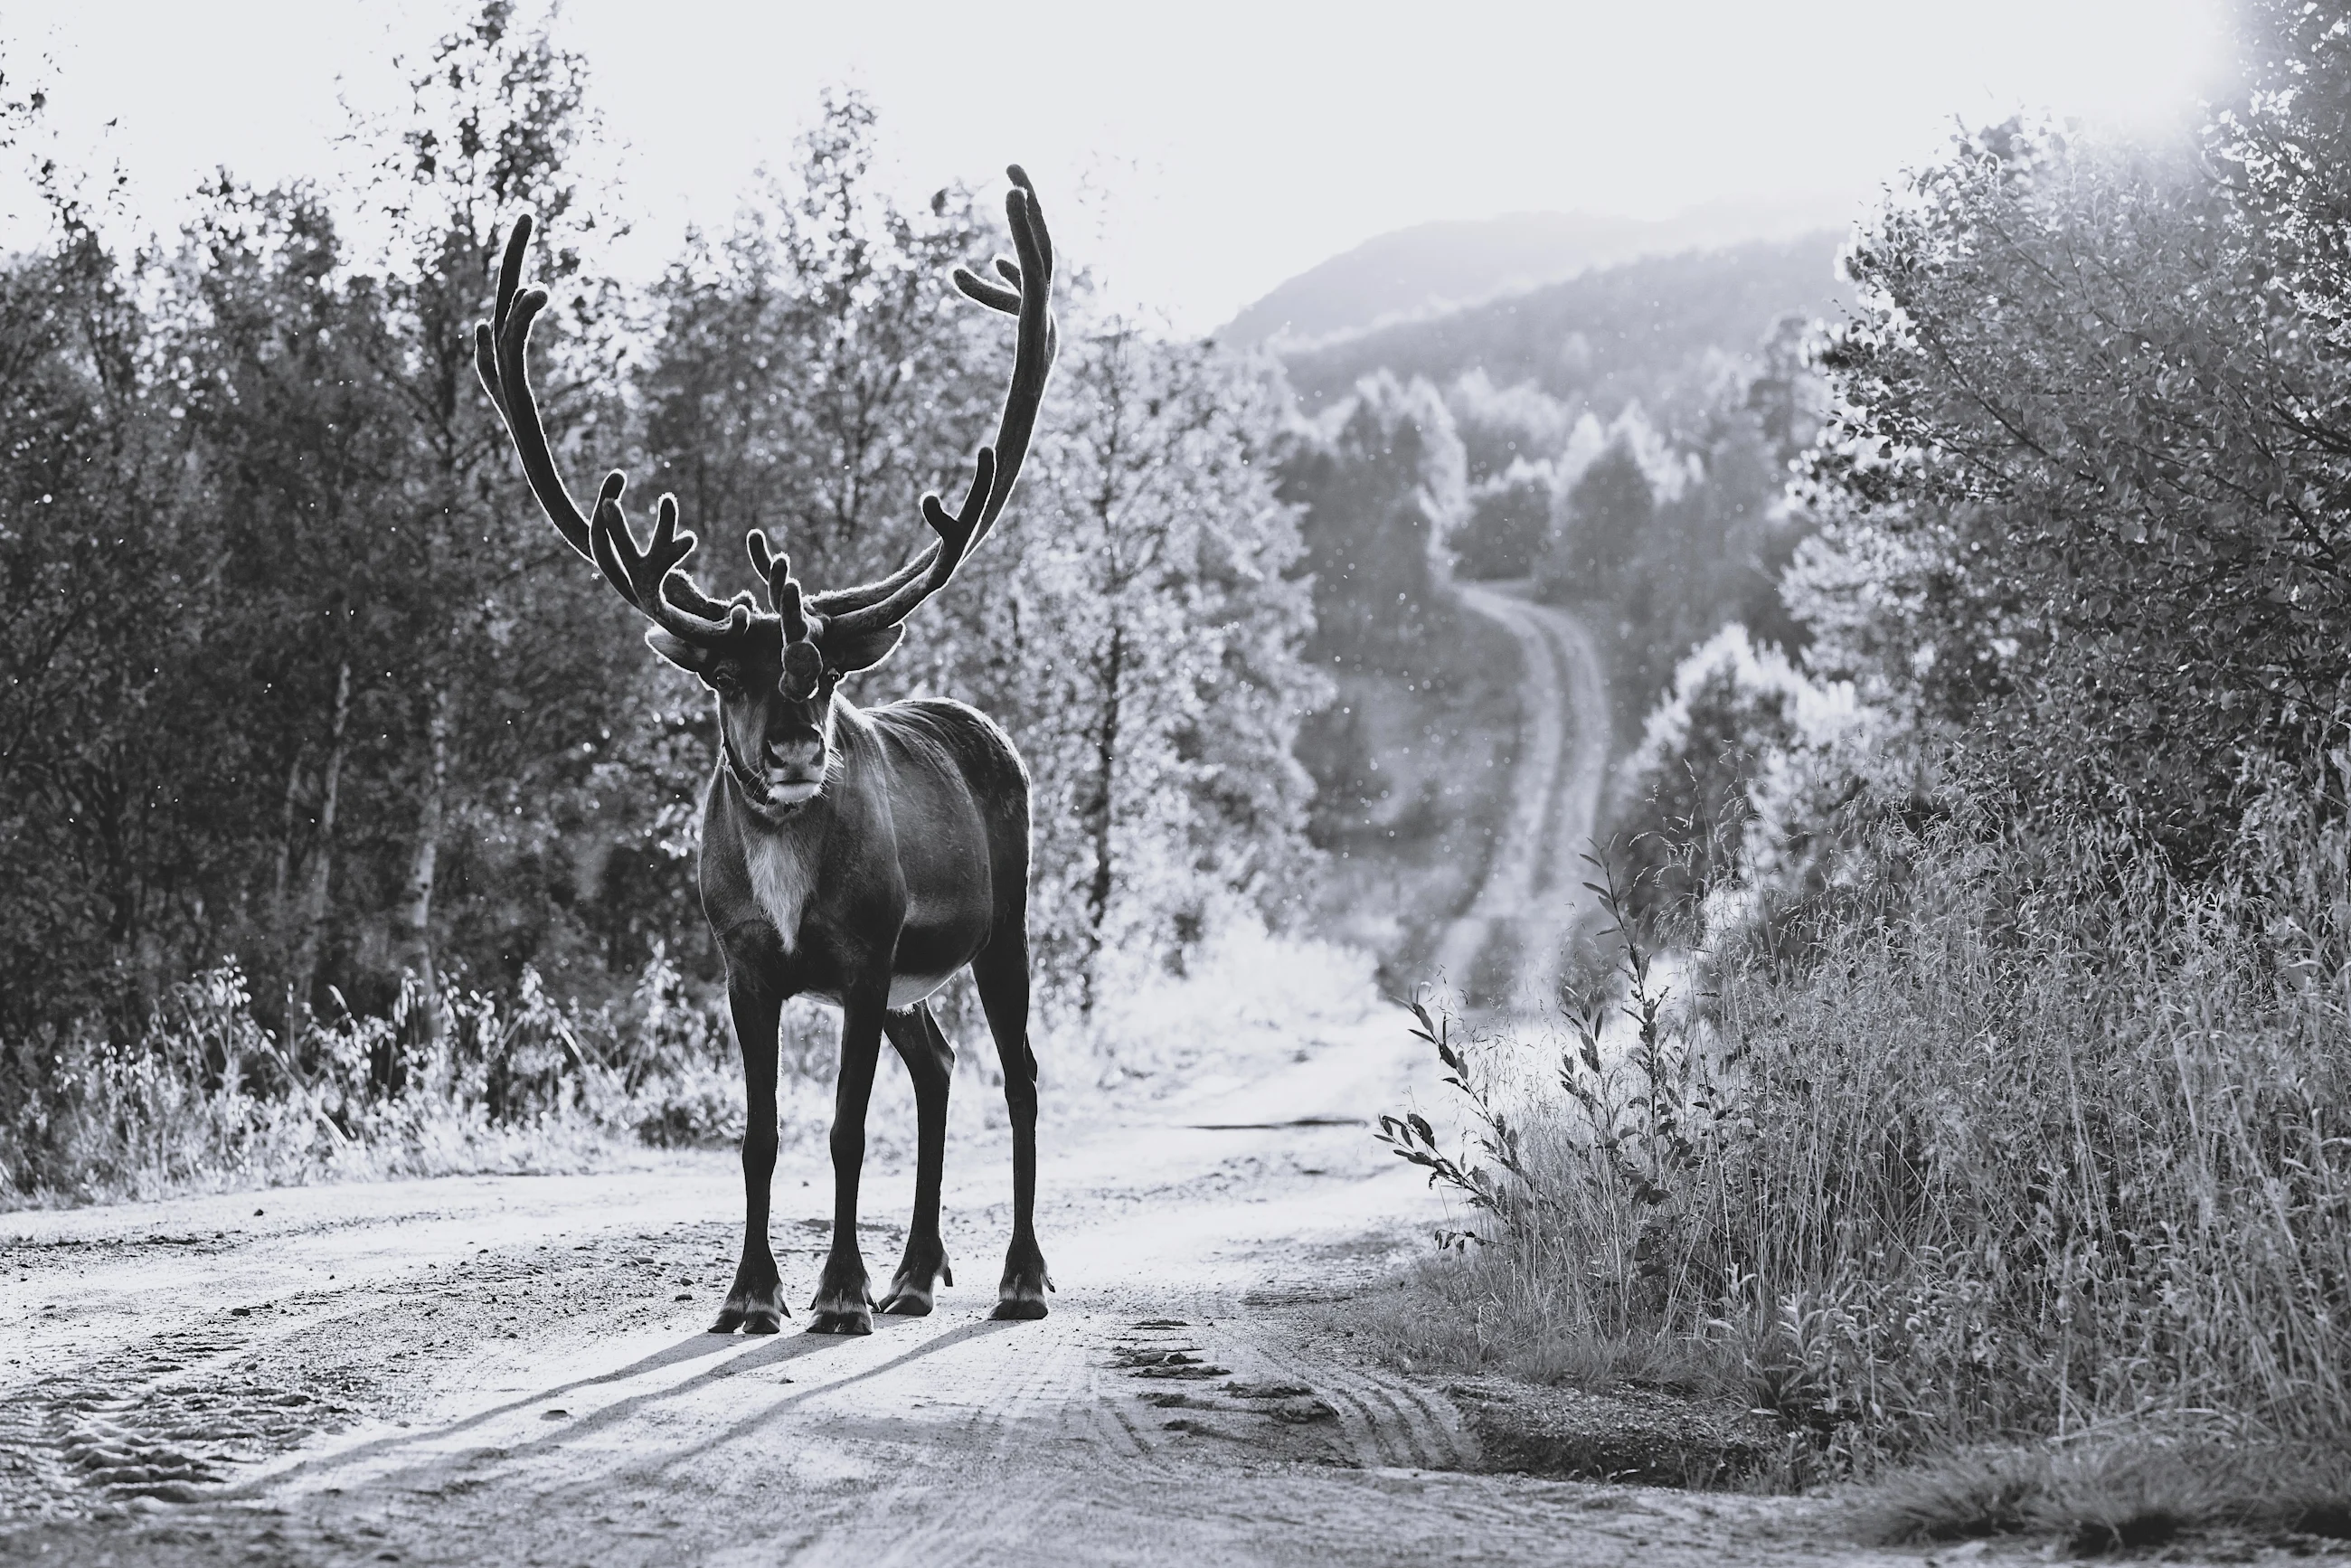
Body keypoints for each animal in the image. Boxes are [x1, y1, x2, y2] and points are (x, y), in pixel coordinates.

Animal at [474, 168, 1057, 1336]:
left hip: (1000, 924)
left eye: (822, 672)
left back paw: (1016, 1275)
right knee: (940, 1066)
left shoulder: (867, 957)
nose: (795, 744)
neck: (788, 881)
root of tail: (989, 733)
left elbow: (843, 1130)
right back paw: (915, 1274)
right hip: (916, 981)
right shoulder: (743, 966)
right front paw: (750, 1294)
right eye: (727, 677)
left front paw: (834, 1294)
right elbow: (758, 1136)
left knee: (1014, 1073)